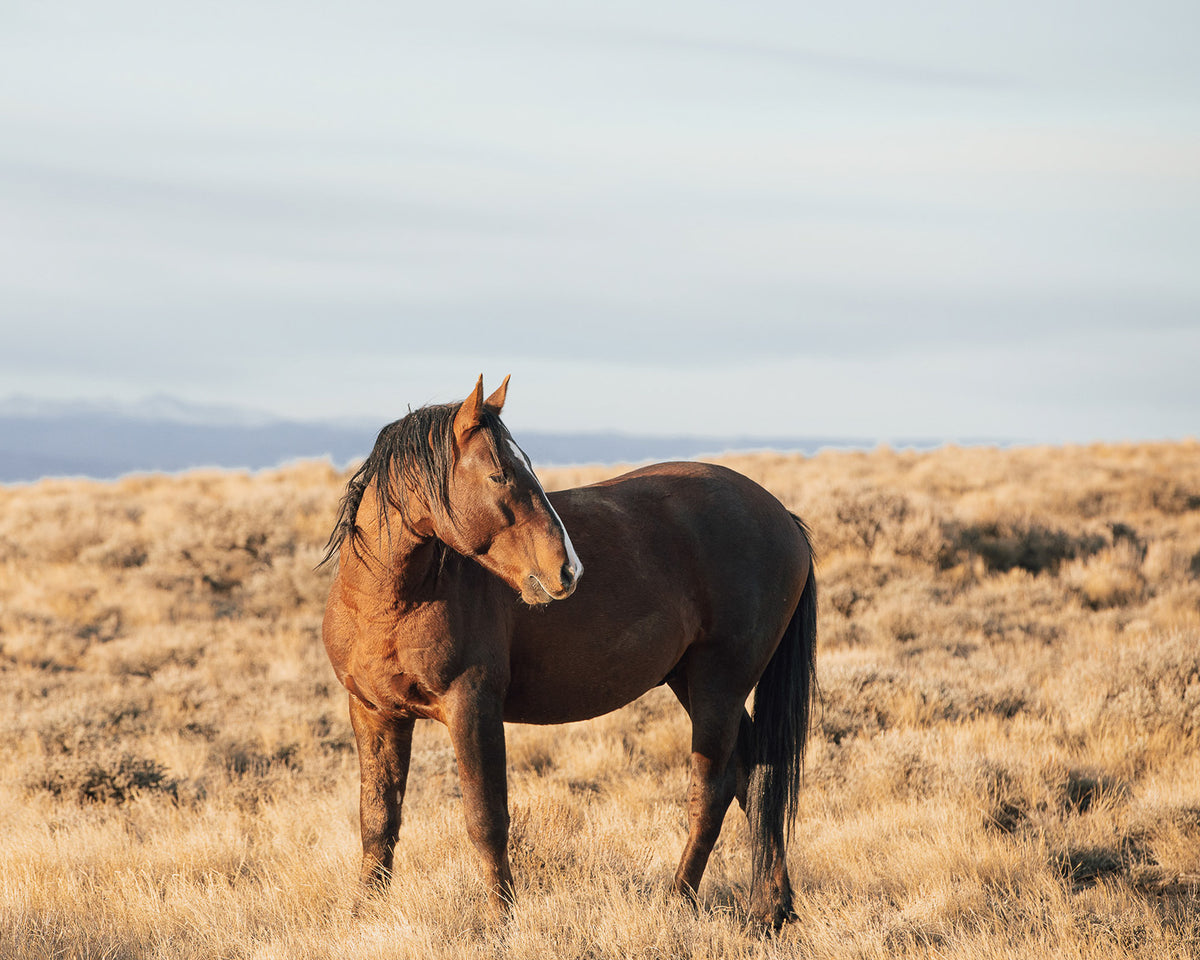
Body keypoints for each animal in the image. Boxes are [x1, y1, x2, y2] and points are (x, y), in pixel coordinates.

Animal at [321, 376, 816, 931]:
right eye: (500, 474)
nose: (568, 569)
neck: (389, 603)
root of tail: (782, 516)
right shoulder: (374, 713)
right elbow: (378, 820)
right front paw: (362, 916)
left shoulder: (471, 708)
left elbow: (485, 818)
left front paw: (501, 922)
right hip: (692, 680)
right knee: (756, 777)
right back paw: (772, 910)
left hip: (720, 684)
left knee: (712, 792)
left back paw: (678, 902)